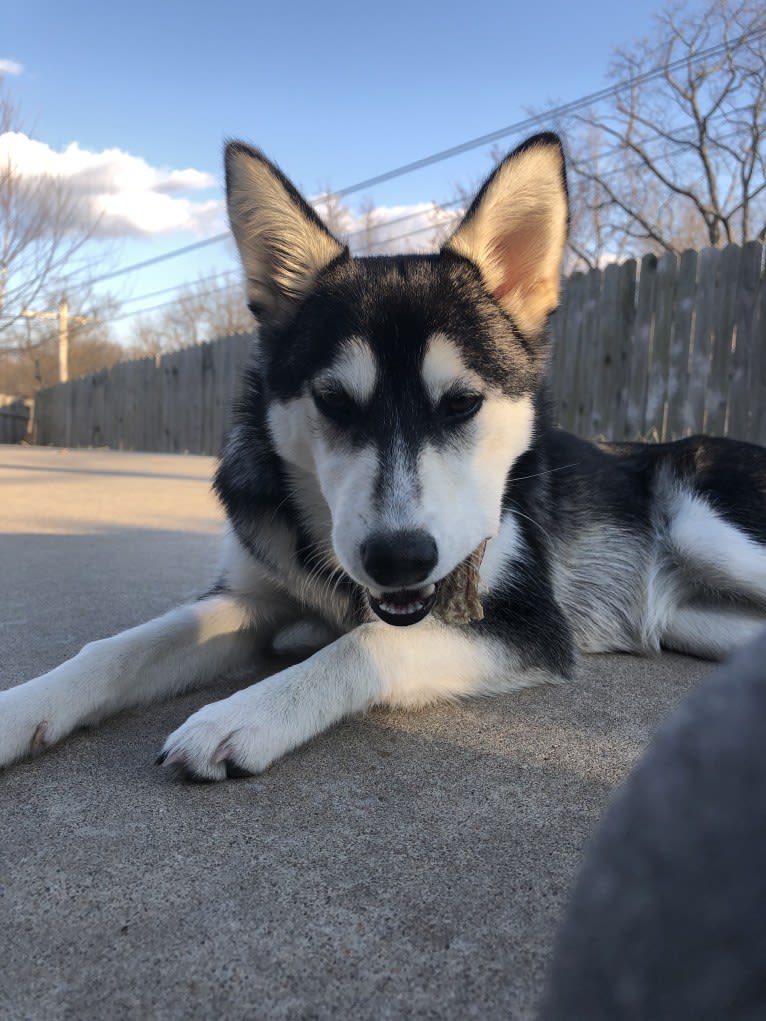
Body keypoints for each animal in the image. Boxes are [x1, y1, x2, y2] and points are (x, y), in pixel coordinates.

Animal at [1, 131, 766, 775]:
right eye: (335, 401)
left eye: (461, 403)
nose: (399, 558)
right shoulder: (248, 597)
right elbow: (120, 647)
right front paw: (21, 707)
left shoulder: (529, 625)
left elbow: (366, 641)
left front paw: (245, 713)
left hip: (707, 527)